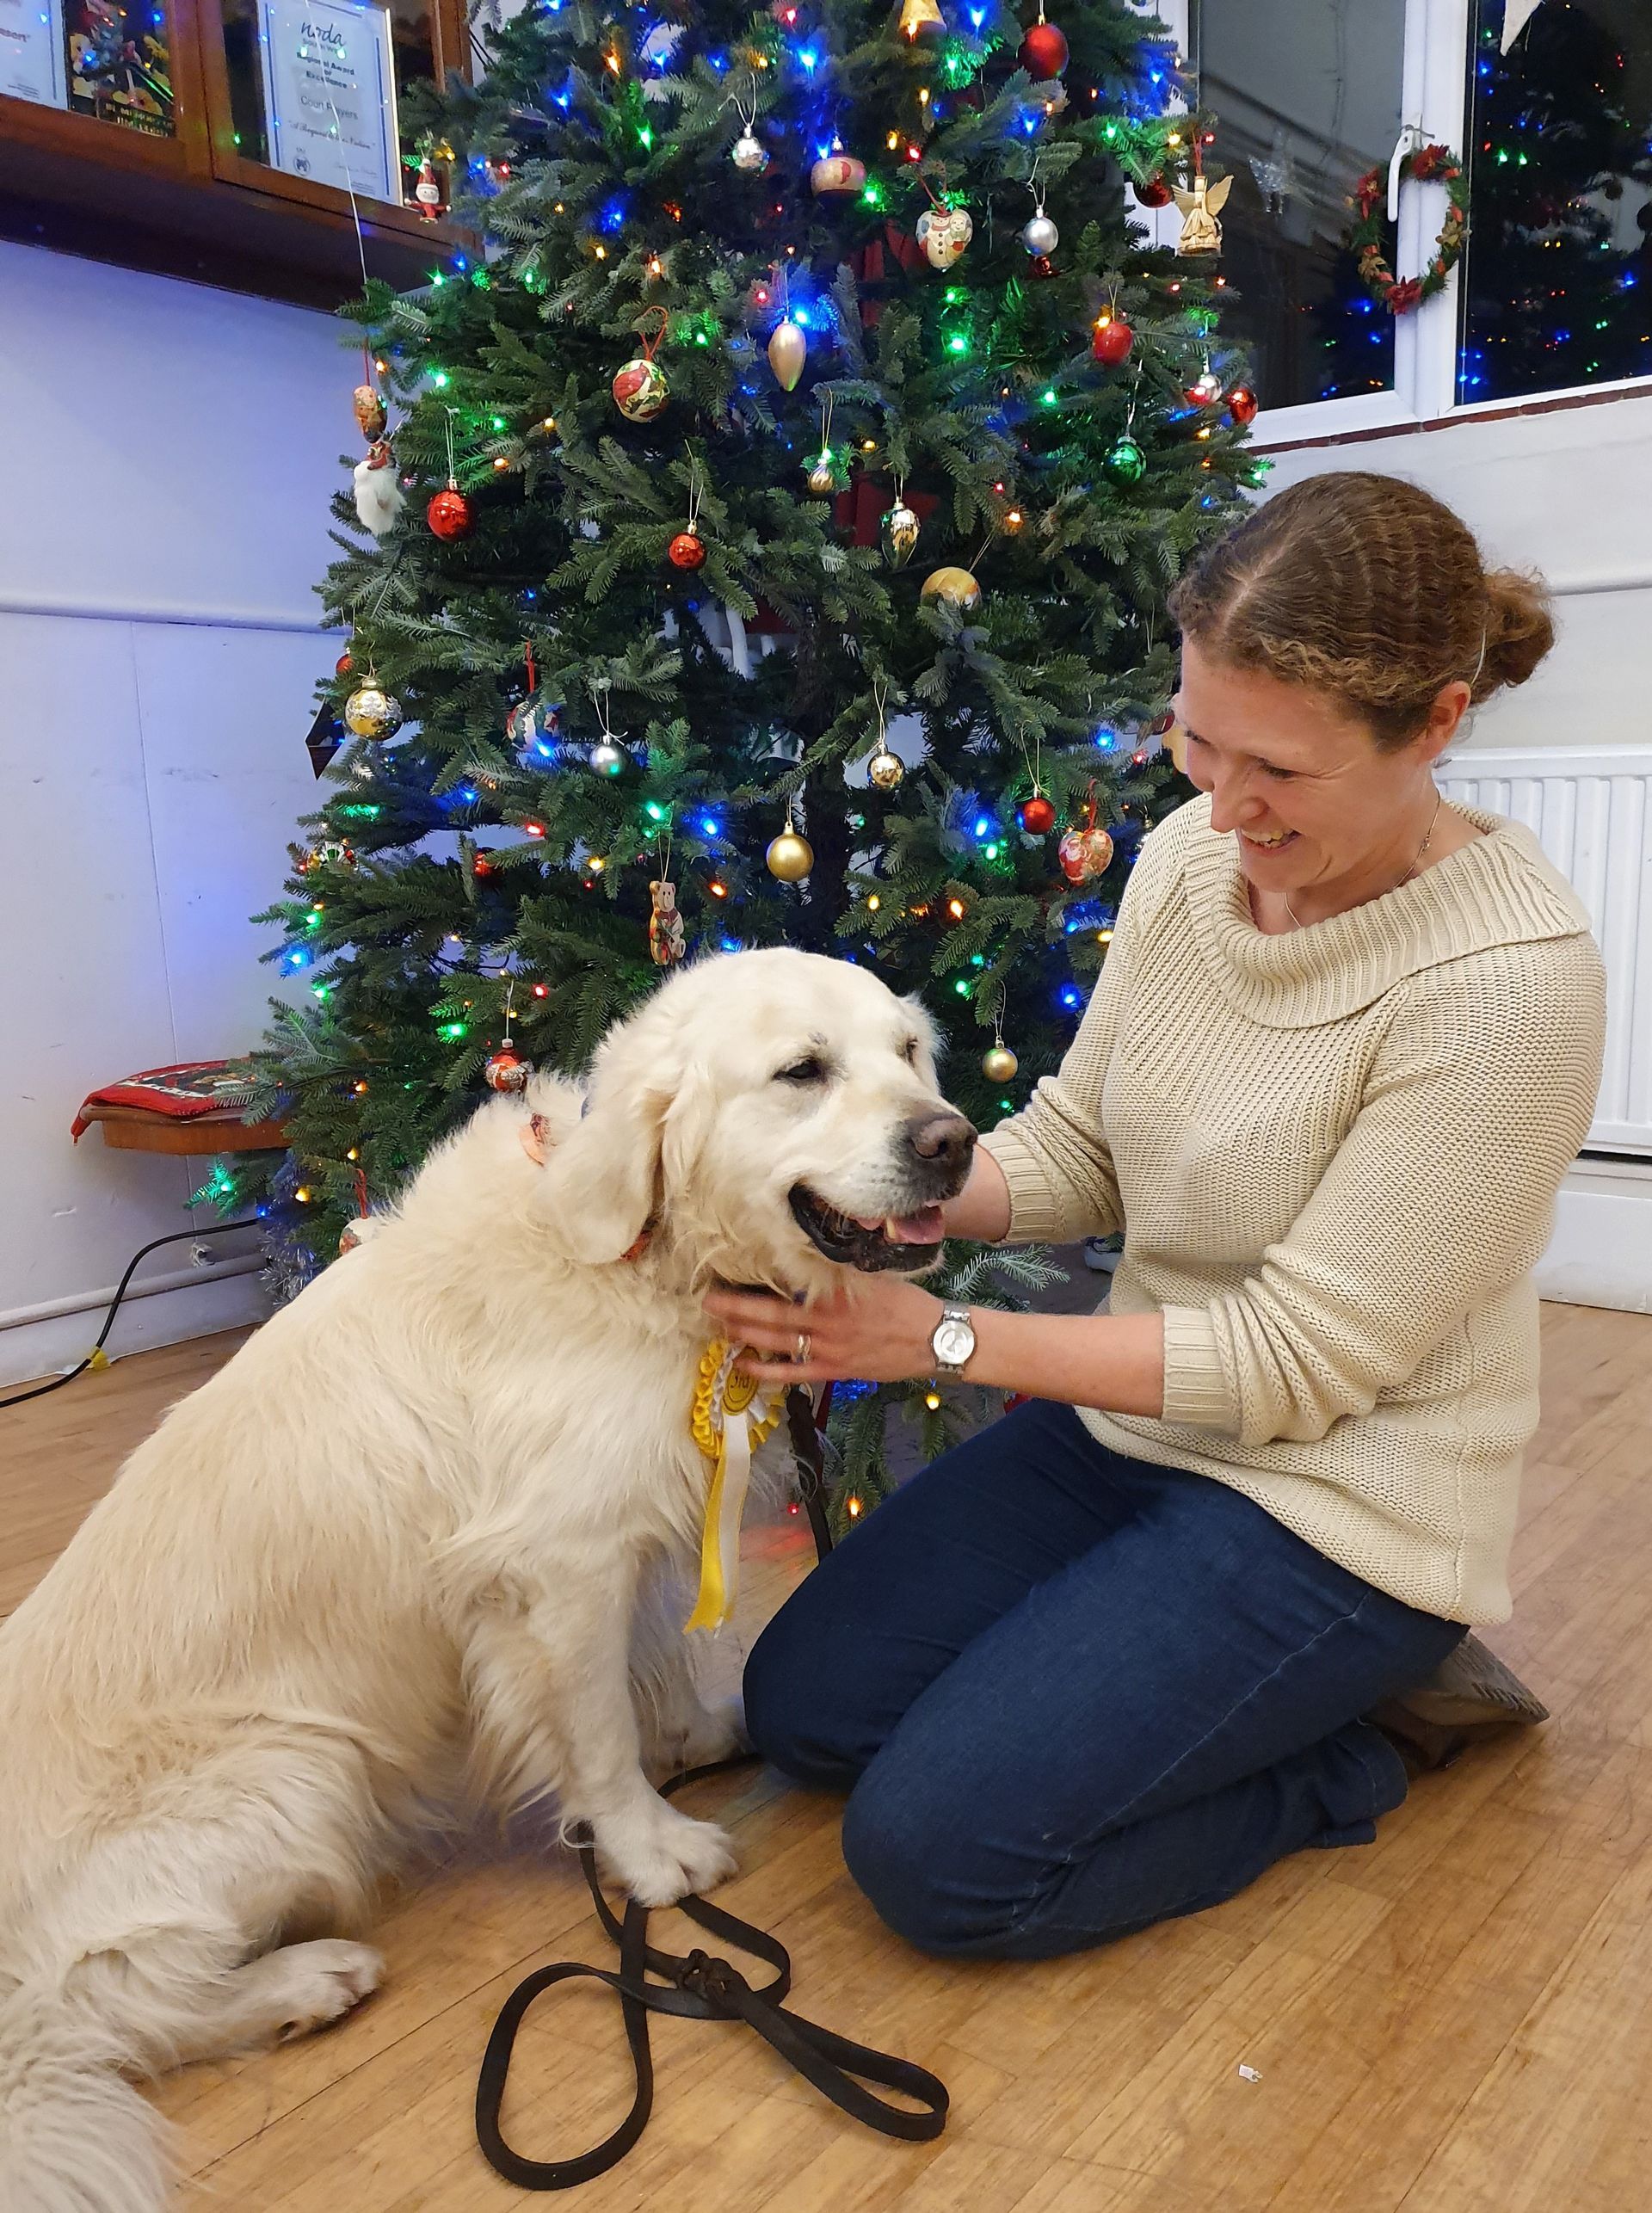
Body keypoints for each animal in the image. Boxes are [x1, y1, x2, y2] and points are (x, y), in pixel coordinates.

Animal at [0, 947, 976, 2213]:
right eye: (802, 1071)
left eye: (907, 1052)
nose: (955, 1142)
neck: (644, 1254)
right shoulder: (559, 1567)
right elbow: (597, 1730)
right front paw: (652, 1857)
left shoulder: (621, 1526)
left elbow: (650, 1662)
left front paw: (695, 1736)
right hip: (297, 1767)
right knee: (97, 2008)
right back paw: (304, 1983)